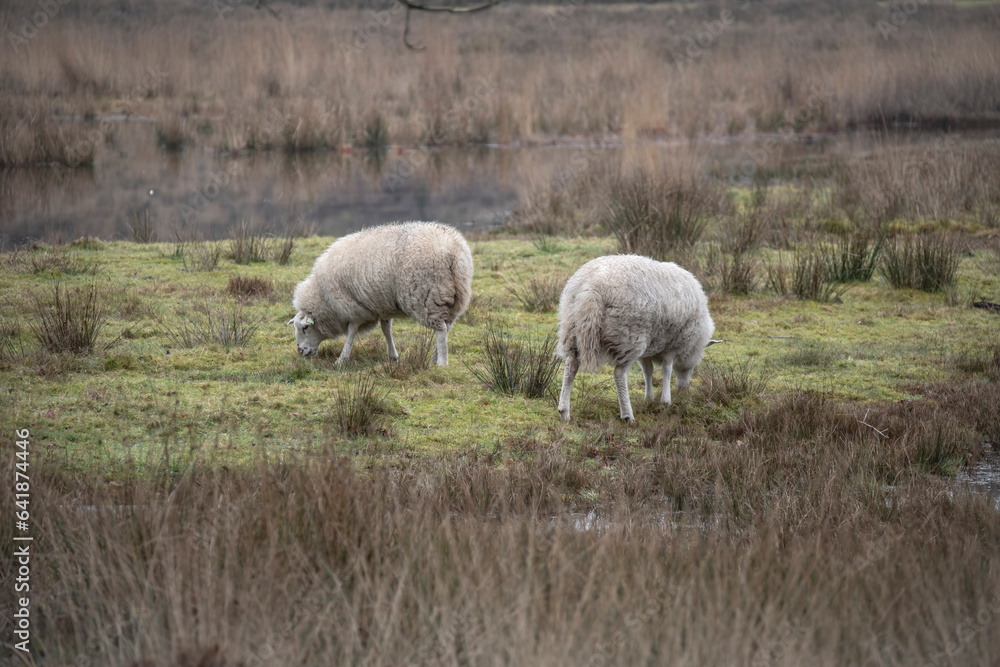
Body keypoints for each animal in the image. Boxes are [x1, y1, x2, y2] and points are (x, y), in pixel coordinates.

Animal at [288, 221, 473, 366]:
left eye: (305, 327)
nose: (300, 352)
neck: (323, 296)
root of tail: (452, 250)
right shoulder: (382, 305)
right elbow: (386, 329)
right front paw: (393, 356)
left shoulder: (354, 307)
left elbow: (351, 331)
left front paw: (342, 359)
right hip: (455, 295)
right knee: (447, 327)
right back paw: (434, 358)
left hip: (427, 295)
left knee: (440, 330)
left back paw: (442, 363)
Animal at [555, 255, 719, 423]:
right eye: (694, 364)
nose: (684, 390)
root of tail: (590, 287)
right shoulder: (672, 345)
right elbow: (667, 369)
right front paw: (665, 401)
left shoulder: (648, 348)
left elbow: (648, 371)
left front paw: (649, 398)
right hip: (628, 336)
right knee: (619, 374)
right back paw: (628, 415)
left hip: (572, 330)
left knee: (571, 366)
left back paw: (564, 411)